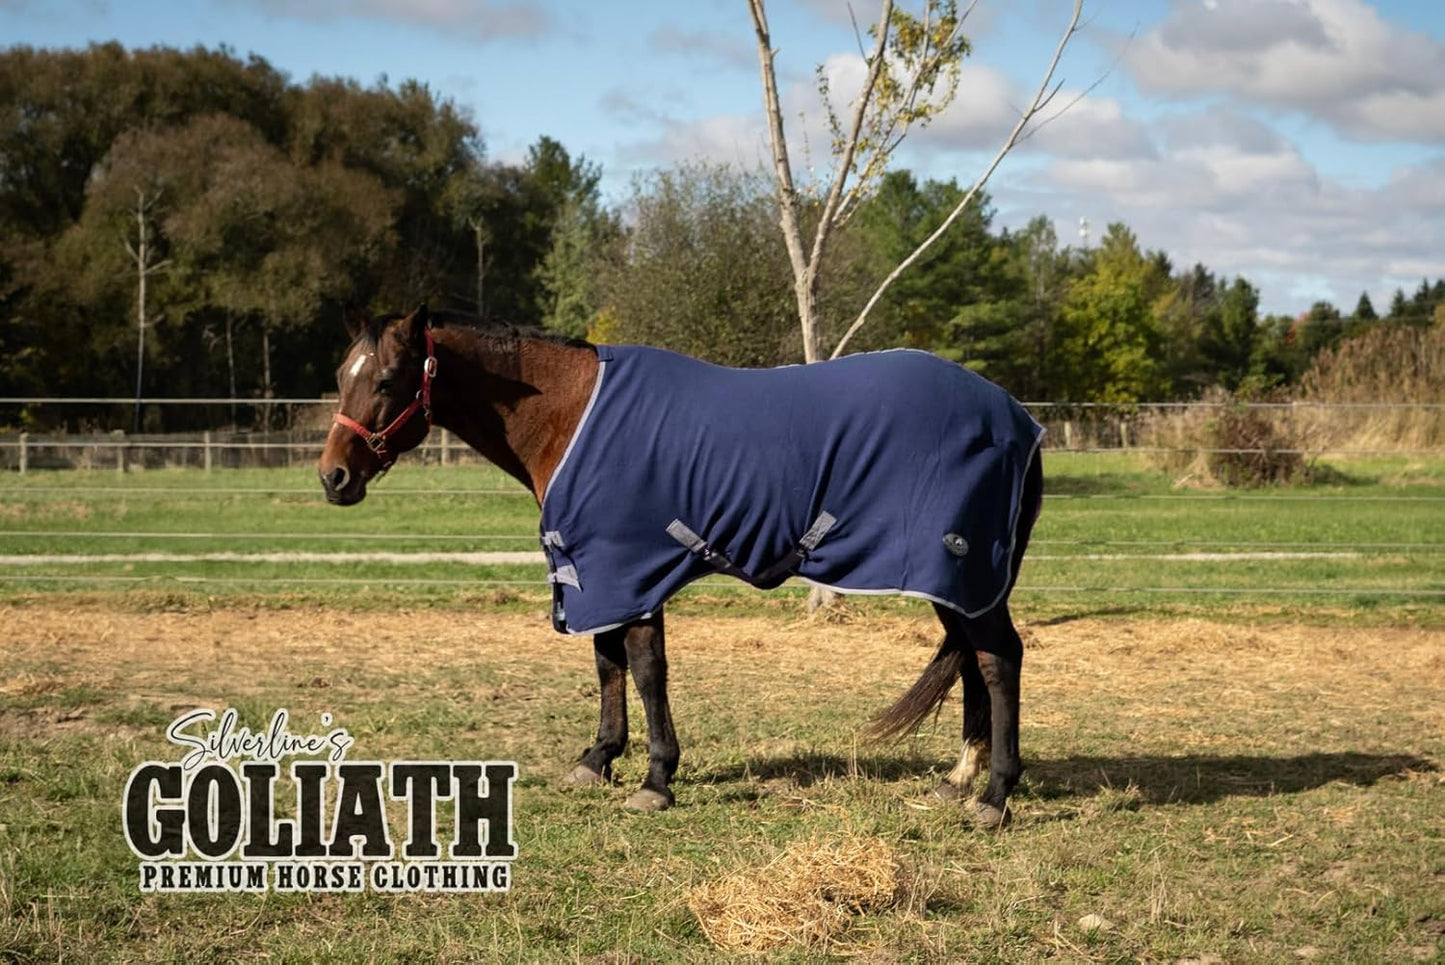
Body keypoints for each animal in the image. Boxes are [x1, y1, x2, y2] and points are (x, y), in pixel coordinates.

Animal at [317, 306, 1045, 828]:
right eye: (340, 377)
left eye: (386, 381)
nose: (333, 477)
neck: (571, 414)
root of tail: (1018, 419)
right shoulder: (596, 574)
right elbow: (607, 663)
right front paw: (598, 759)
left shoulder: (630, 568)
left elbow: (643, 668)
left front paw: (655, 779)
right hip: (956, 581)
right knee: (973, 661)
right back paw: (958, 780)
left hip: (961, 569)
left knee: (998, 660)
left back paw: (993, 796)